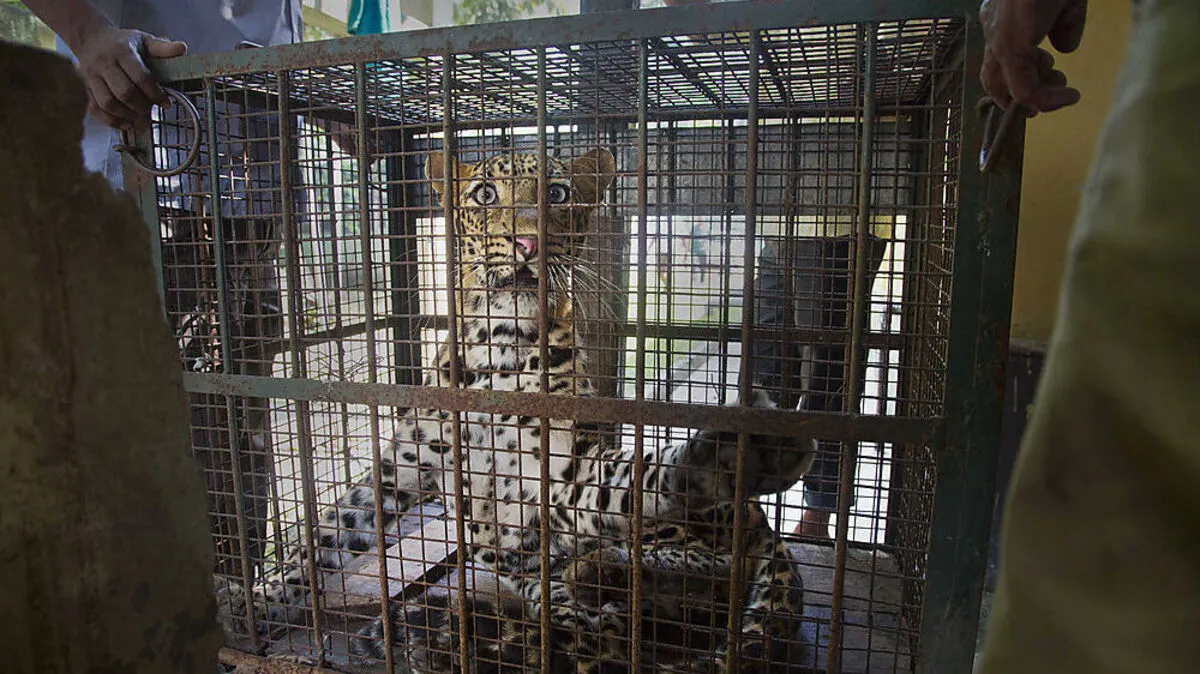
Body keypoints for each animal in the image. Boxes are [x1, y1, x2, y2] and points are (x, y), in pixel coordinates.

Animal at [215, 147, 817, 673]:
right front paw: (255, 602)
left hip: (695, 537)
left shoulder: (558, 477)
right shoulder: (402, 469)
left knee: (686, 577)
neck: (496, 345)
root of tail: (766, 527)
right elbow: (324, 535)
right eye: (485, 193)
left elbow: (633, 483)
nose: (529, 241)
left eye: (559, 193)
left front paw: (728, 455)